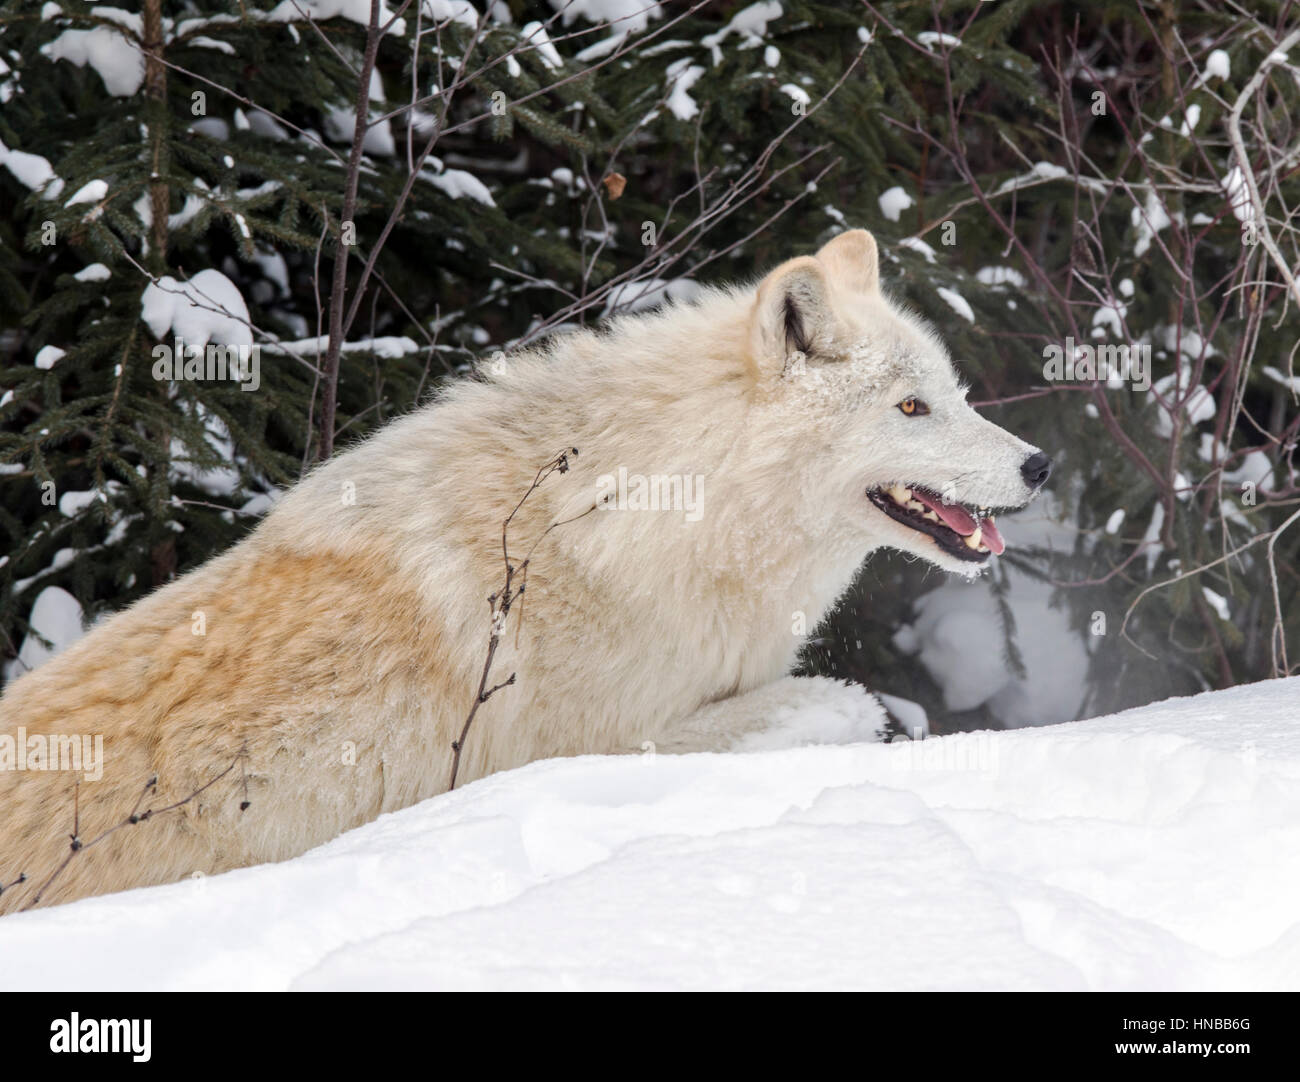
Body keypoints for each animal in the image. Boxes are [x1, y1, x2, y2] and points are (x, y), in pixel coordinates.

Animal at [0, 230, 1049, 912]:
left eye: (954, 395)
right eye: (912, 408)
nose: (1040, 465)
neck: (658, 509)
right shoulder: (585, 749)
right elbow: (810, 703)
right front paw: (858, 714)